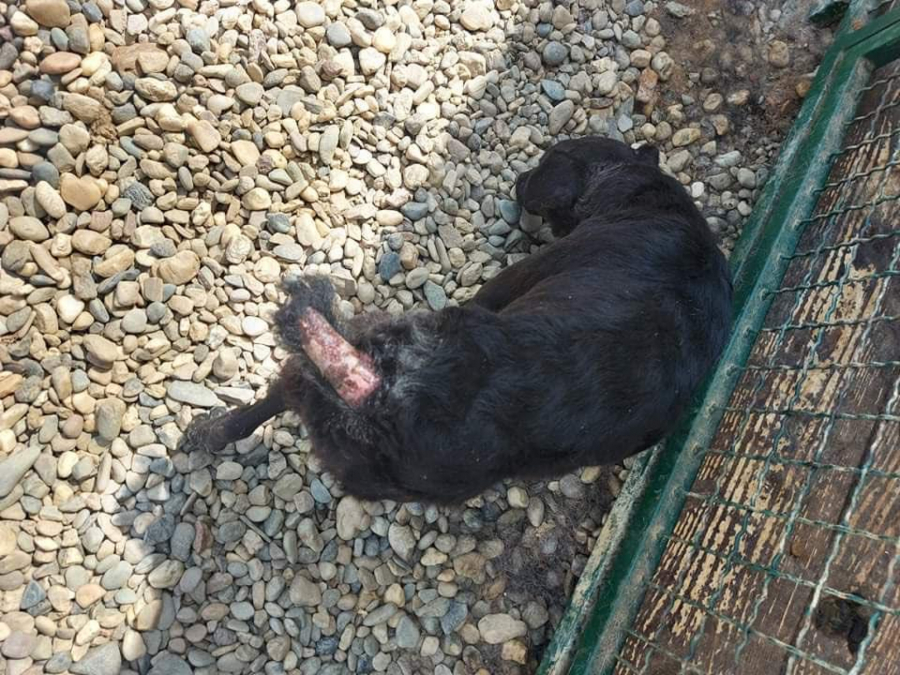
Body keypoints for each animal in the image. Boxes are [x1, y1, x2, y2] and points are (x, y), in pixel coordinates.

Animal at [180, 137, 733, 504]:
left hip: (332, 359)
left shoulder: (507, 285)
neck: (648, 198)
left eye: (544, 162)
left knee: (272, 396)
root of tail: (383, 390)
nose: (519, 179)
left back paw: (209, 431)